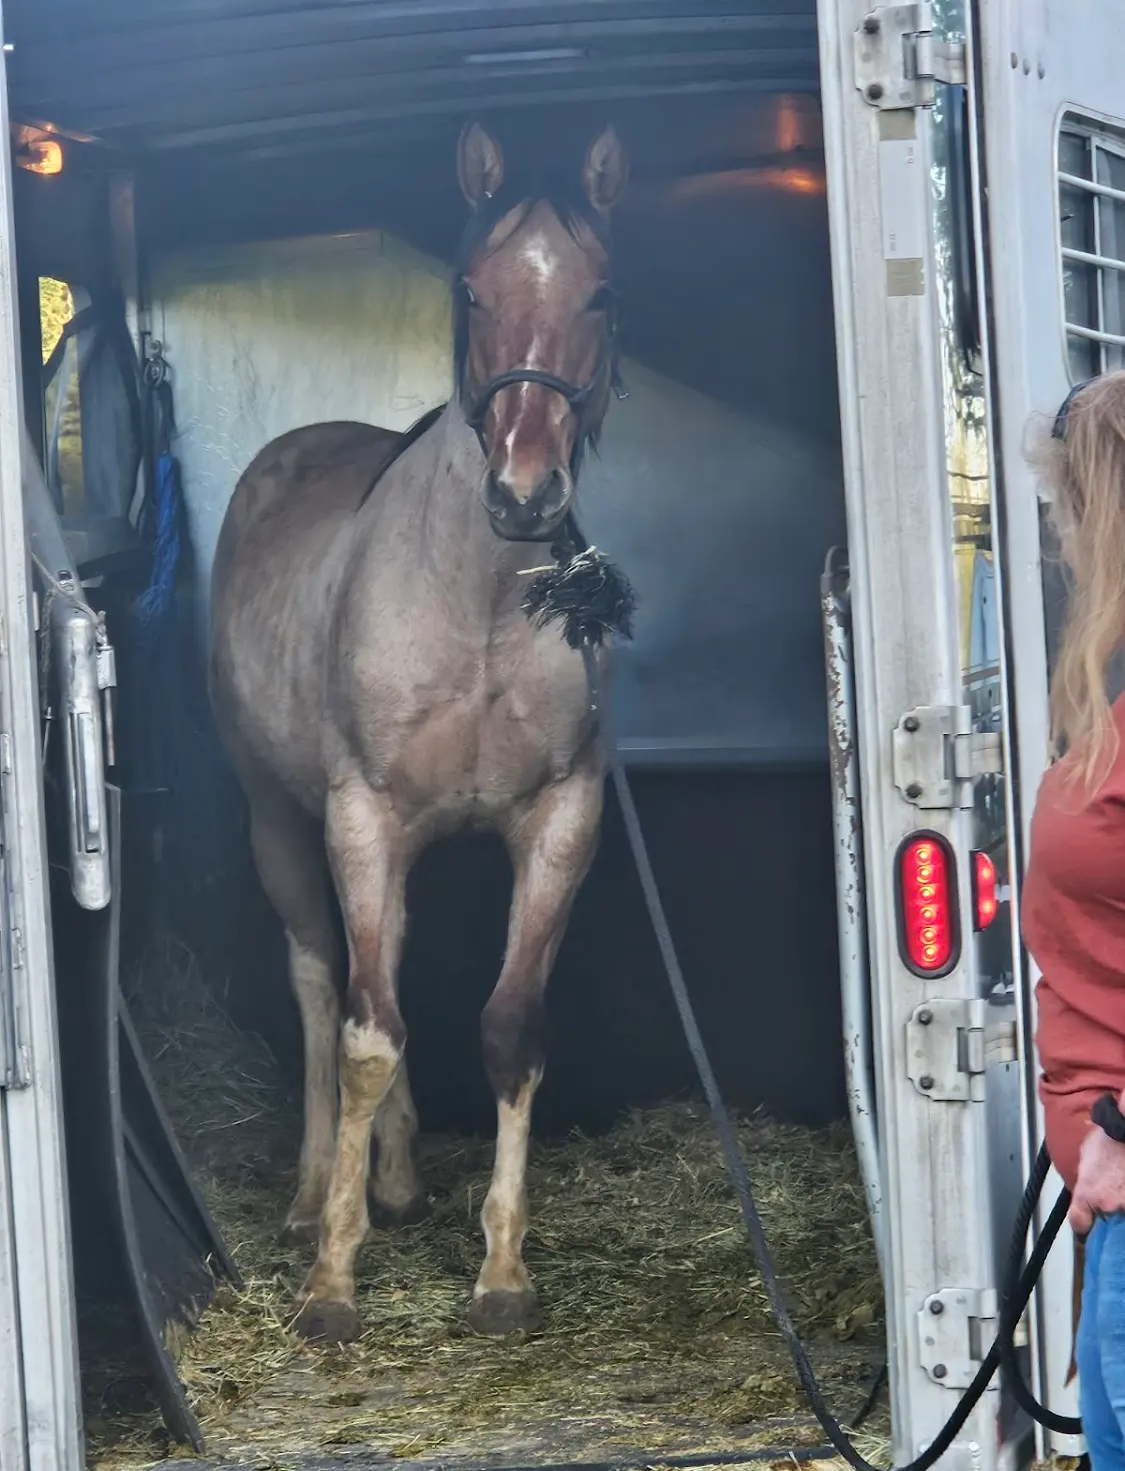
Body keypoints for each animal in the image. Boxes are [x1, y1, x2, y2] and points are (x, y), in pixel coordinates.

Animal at [209, 120, 628, 1344]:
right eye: (471, 288)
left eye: (599, 291)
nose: (525, 494)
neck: (479, 600)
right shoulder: (360, 816)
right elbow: (360, 1034)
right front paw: (331, 1283)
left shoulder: (560, 821)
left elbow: (505, 1028)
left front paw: (502, 1270)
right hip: (282, 817)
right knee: (323, 979)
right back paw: (316, 1197)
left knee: (380, 961)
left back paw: (393, 1181)